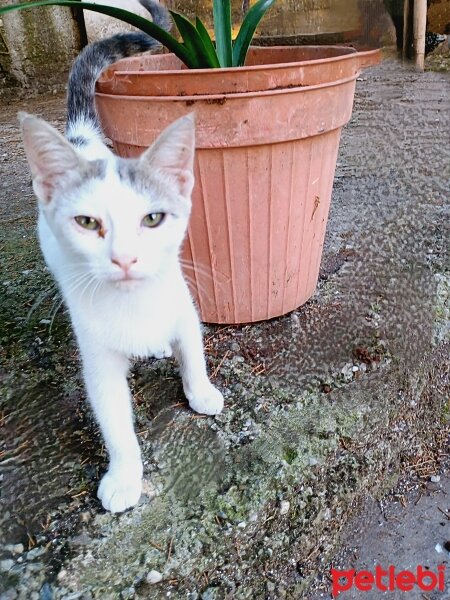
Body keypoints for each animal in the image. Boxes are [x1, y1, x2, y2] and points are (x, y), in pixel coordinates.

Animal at [20, 1, 224, 516]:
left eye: (152, 219)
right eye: (87, 222)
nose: (125, 259)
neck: (136, 306)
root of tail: (81, 141)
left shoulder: (181, 303)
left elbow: (193, 350)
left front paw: (201, 391)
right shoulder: (96, 355)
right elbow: (113, 418)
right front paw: (124, 475)